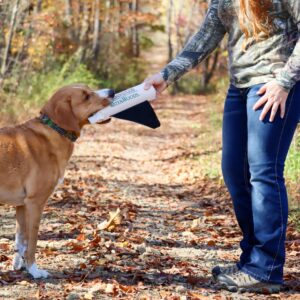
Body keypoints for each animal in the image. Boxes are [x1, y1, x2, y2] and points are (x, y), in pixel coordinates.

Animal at [0, 84, 113, 278]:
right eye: (86, 96)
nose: (112, 92)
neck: (54, 129)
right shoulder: (35, 203)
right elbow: (32, 242)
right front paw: (34, 270)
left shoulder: (21, 205)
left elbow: (20, 241)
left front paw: (18, 266)